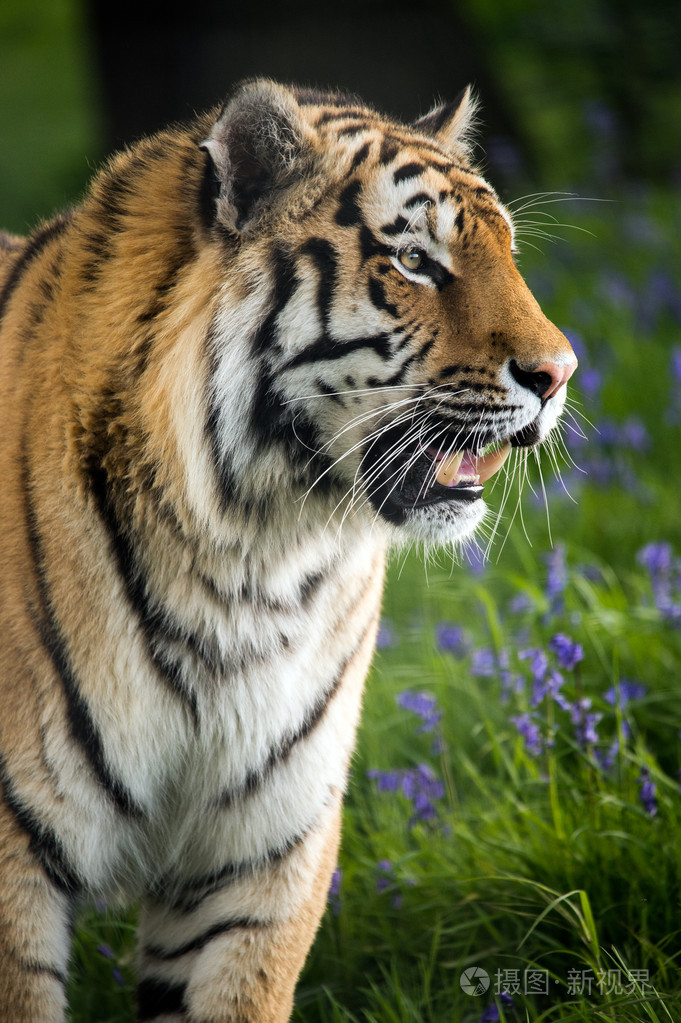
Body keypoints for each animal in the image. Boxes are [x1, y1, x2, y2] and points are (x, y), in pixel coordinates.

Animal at [0, 78, 576, 1022]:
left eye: (508, 254)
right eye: (413, 260)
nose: (559, 374)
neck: (251, 558)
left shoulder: (262, 850)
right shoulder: (16, 854)